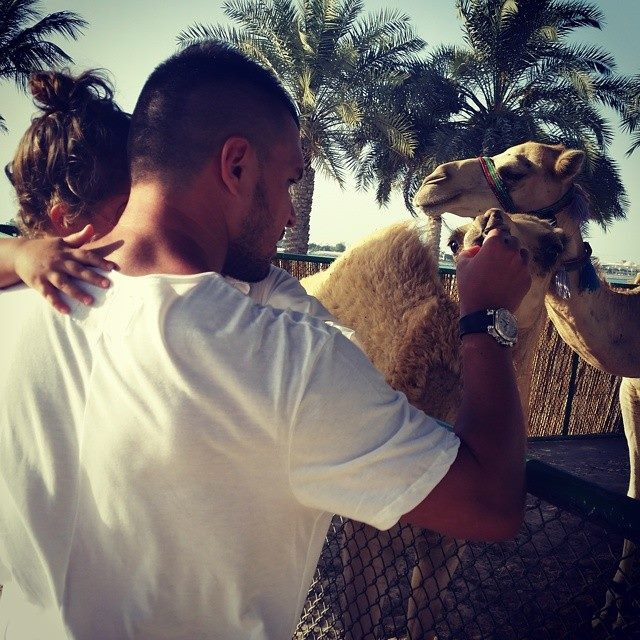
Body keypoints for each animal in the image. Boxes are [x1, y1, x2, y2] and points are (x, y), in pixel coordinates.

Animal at [300, 208, 564, 636]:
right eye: (454, 241)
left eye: (554, 246)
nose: (494, 223)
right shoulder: (370, 522)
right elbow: (362, 618)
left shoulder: (449, 539)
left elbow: (423, 613)